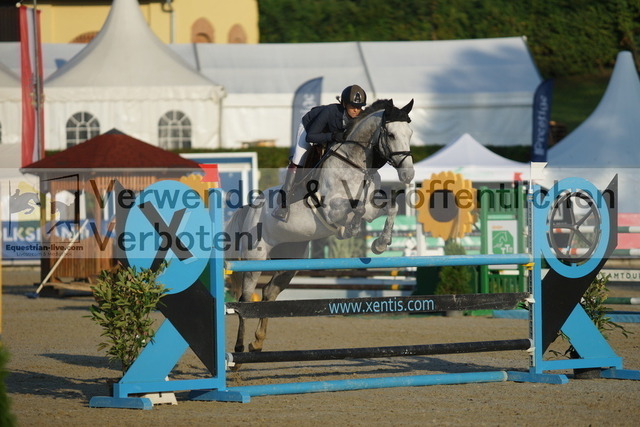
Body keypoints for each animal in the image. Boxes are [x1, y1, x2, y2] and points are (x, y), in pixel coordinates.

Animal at [225, 98, 416, 356]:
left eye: (410, 133)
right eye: (392, 134)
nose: (408, 175)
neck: (355, 163)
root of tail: (250, 207)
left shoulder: (371, 205)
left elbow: (389, 207)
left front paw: (380, 243)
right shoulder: (332, 208)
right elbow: (355, 209)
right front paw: (352, 230)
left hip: (290, 260)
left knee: (268, 294)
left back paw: (257, 343)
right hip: (255, 259)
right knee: (245, 300)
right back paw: (239, 348)